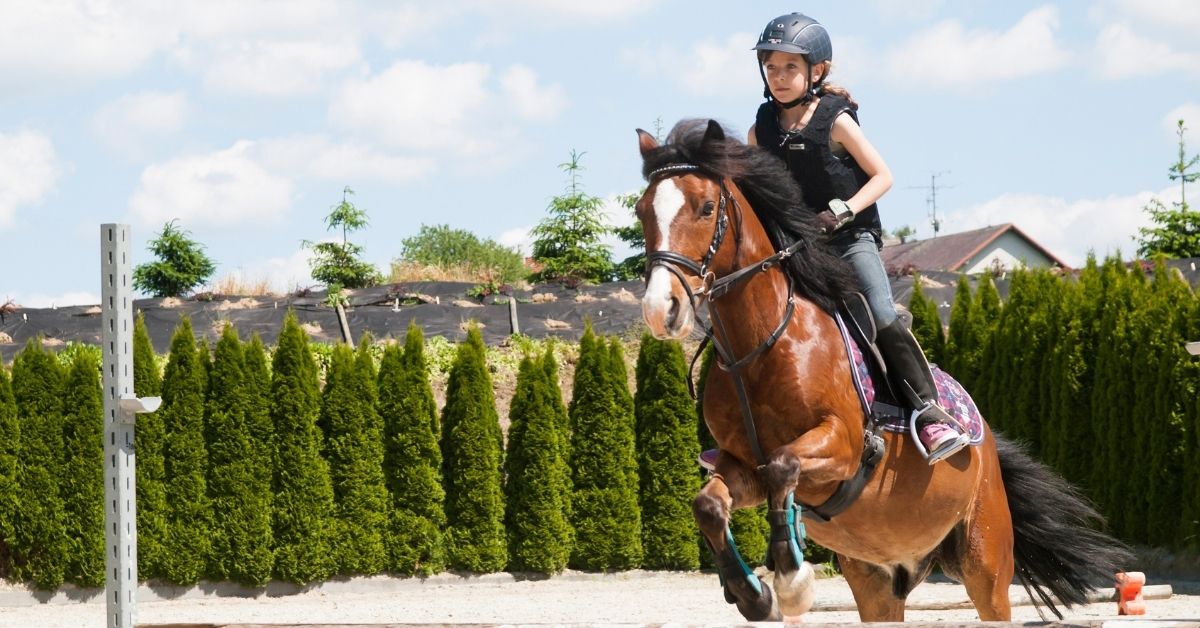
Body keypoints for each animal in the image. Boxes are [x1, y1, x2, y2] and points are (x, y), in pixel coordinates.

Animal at [633, 119, 1128, 624]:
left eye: (706, 207)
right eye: (641, 211)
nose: (660, 308)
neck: (761, 345)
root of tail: (987, 442)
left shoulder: (844, 447)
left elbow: (783, 465)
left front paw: (791, 579)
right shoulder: (740, 466)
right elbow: (709, 504)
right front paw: (752, 594)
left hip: (985, 563)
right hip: (876, 581)